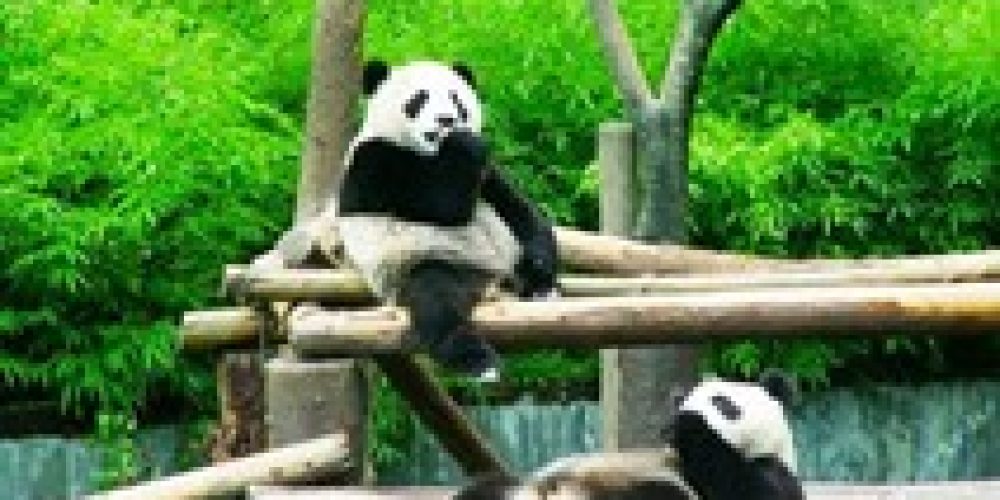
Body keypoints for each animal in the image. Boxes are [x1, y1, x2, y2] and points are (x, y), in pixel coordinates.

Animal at [336, 60, 558, 379]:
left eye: (456, 100)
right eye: (419, 99)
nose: (446, 120)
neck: (433, 153)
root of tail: (493, 287)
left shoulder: (487, 175)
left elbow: (519, 209)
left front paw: (540, 263)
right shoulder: (374, 161)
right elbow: (443, 204)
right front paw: (464, 143)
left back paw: (540, 289)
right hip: (426, 265)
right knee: (437, 299)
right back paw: (477, 362)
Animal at [453, 373, 804, 499]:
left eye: (722, 402)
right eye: (682, 398)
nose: (669, 425)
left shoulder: (771, 469)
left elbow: (750, 492)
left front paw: (688, 425)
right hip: (518, 486)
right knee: (485, 487)